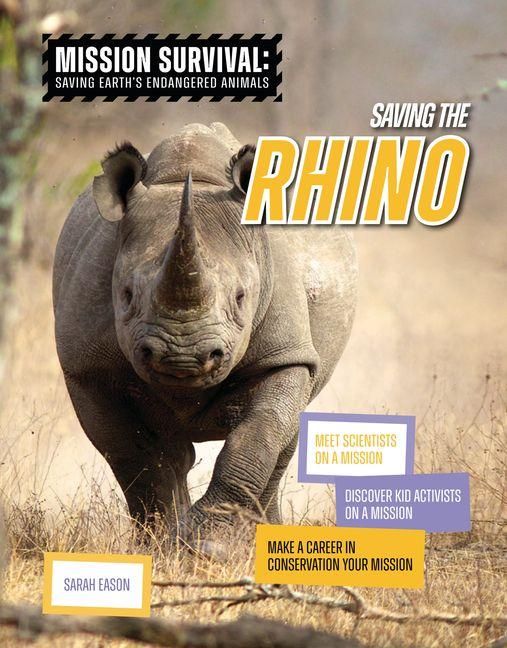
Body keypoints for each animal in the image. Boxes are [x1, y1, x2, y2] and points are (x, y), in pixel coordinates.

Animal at [53, 122, 357, 541]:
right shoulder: (86, 368)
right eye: (126, 295)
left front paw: (207, 544)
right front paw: (163, 543)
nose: (182, 359)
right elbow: (134, 458)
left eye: (242, 297)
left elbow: (256, 437)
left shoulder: (284, 355)